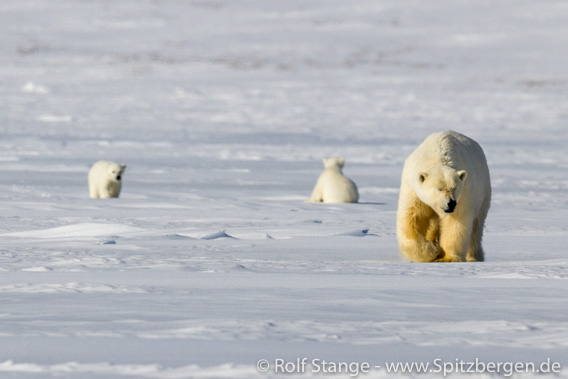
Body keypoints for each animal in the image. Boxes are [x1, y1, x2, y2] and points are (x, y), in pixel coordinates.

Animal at [398, 132, 490, 262]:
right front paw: (430, 252)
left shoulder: (464, 191)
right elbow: (412, 218)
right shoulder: (413, 189)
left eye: (454, 187)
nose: (451, 203)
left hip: (483, 191)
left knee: (476, 227)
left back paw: (473, 257)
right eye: (439, 189)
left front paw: (448, 258)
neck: (437, 158)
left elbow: (456, 221)